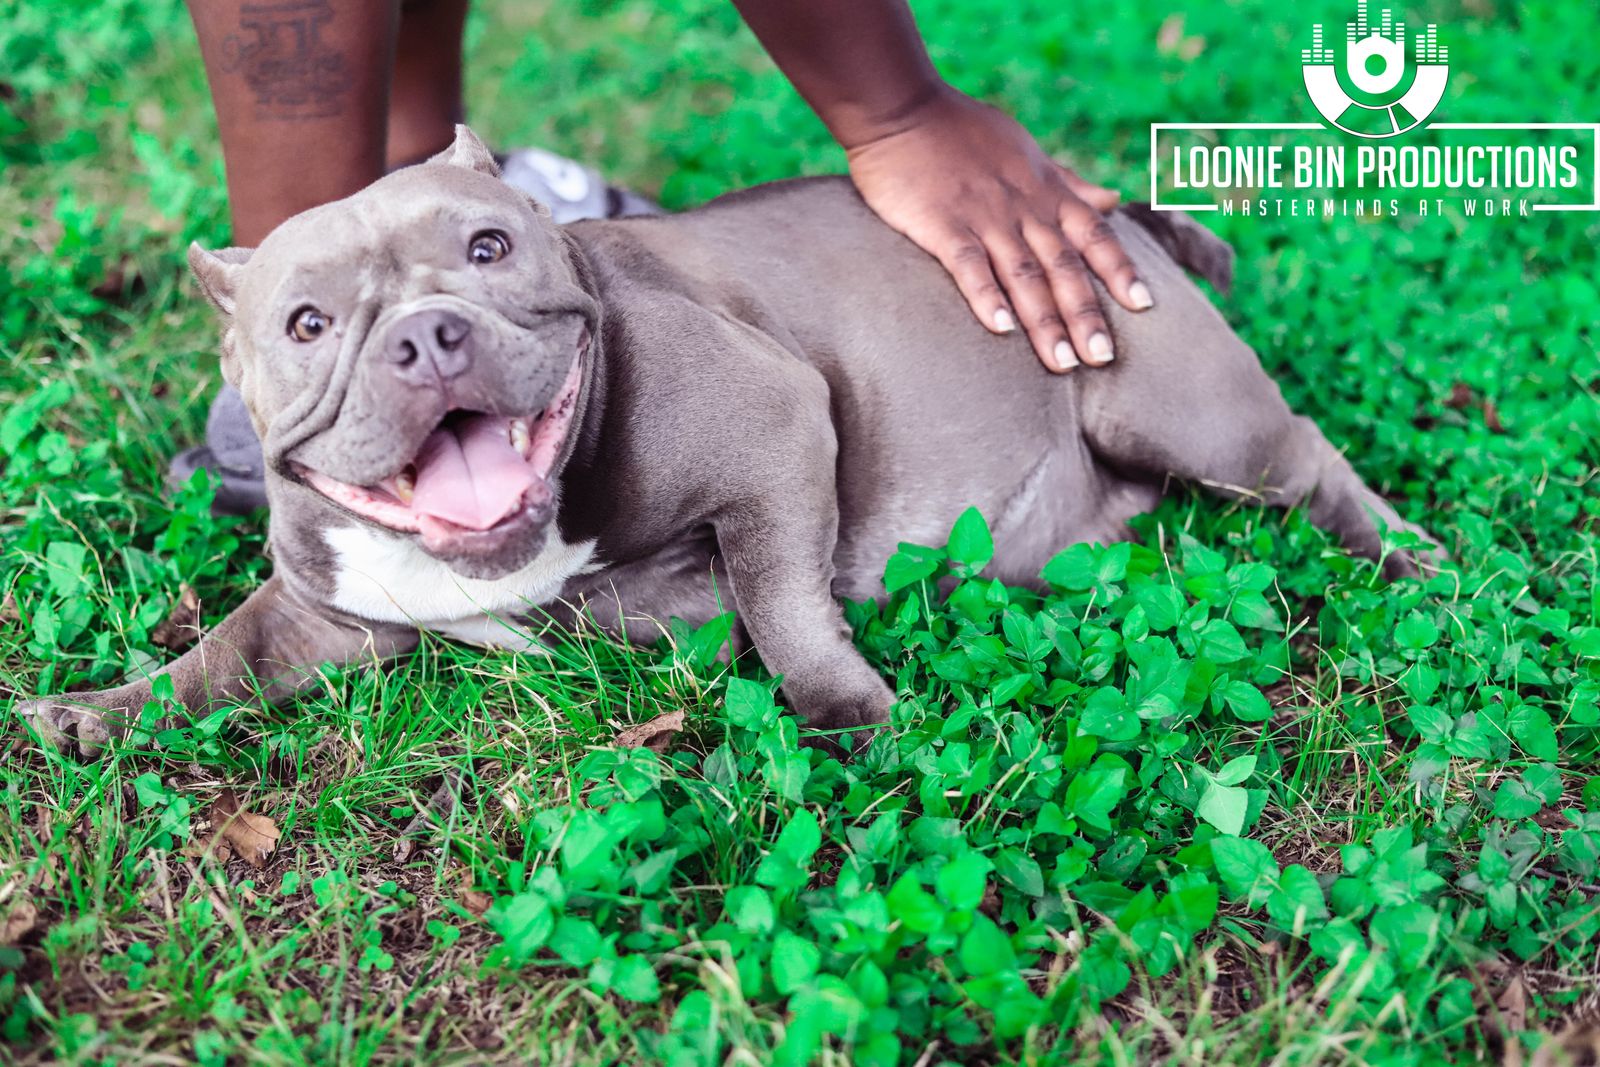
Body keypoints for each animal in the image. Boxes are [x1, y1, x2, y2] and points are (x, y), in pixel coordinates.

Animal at [21, 126, 1436, 756]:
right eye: (308, 323)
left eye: (489, 246)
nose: (425, 335)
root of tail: (1111, 208)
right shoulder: (325, 612)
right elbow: (220, 655)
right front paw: (98, 712)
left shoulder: (776, 429)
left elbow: (778, 595)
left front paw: (844, 707)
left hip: (1186, 403)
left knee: (1305, 452)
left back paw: (1405, 553)